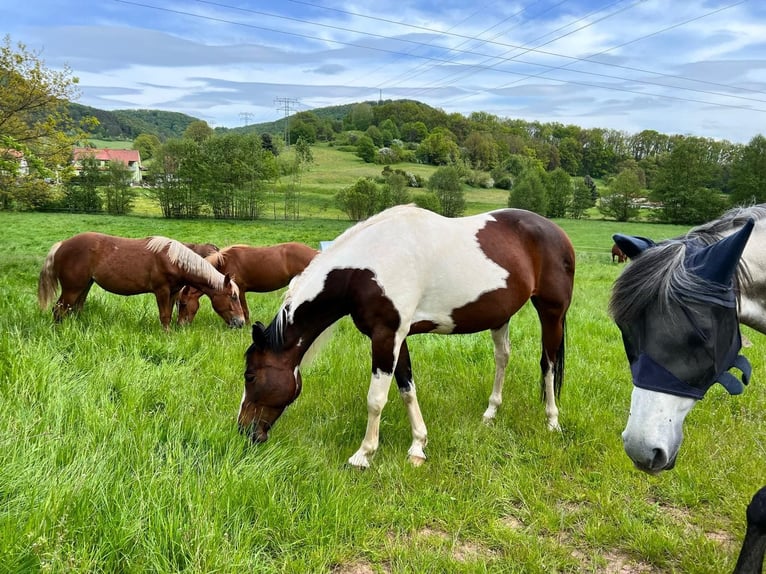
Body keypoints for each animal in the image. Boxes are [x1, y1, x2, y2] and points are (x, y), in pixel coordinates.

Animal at [38, 233, 246, 330]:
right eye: (233, 297)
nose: (241, 322)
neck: (173, 259)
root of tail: (62, 245)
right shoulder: (161, 291)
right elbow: (164, 316)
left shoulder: (172, 292)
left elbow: (168, 315)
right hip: (72, 288)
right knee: (59, 309)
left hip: (84, 286)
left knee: (75, 309)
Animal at [240, 205, 576, 470]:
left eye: (250, 376)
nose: (245, 431)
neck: (365, 268)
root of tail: (558, 233)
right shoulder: (396, 338)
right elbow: (406, 389)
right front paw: (418, 446)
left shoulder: (385, 337)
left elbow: (376, 399)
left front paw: (363, 455)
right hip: (501, 317)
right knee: (503, 357)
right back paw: (491, 413)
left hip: (551, 312)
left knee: (548, 364)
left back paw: (552, 421)